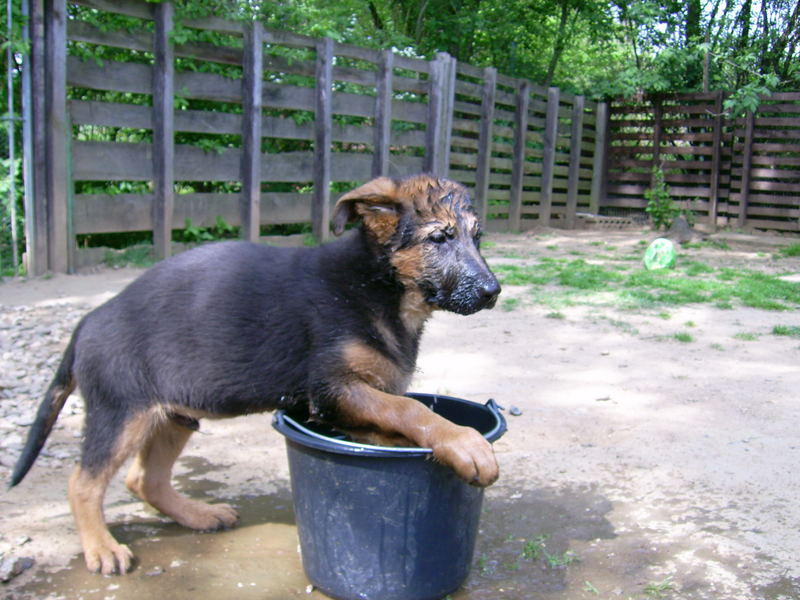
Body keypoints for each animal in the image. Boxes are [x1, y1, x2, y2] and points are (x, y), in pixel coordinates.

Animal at [9, 175, 500, 576]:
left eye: (478, 237)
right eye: (440, 237)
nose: (494, 292)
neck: (379, 285)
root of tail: (88, 321)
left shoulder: (351, 401)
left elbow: (395, 418)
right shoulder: (333, 389)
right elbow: (412, 409)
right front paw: (465, 444)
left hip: (174, 413)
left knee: (143, 479)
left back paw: (198, 515)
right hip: (121, 413)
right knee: (83, 483)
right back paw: (101, 548)